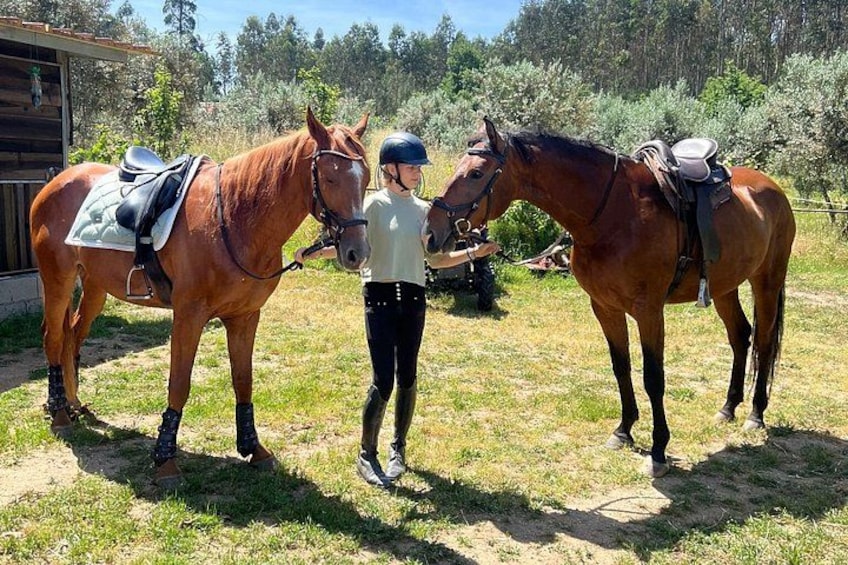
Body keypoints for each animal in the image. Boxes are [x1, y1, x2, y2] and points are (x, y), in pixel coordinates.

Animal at [30, 108, 371, 487]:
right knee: (53, 337)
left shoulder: (245, 317)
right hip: (58, 280)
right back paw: (59, 413)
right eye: (329, 178)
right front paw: (165, 461)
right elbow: (179, 384)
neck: (232, 219)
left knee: (74, 335)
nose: (357, 253)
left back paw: (74, 404)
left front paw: (254, 448)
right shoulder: (189, 316)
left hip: (95, 286)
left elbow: (243, 380)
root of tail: (55, 182)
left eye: (366, 176)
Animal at [424, 118, 795, 477]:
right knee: (740, 336)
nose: (430, 231)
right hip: (724, 287)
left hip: (767, 281)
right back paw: (728, 408)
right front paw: (623, 431)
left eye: (476, 173)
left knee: (764, 342)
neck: (613, 214)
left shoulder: (649, 312)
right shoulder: (605, 307)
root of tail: (772, 189)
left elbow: (653, 378)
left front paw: (658, 450)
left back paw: (755, 414)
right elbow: (621, 368)